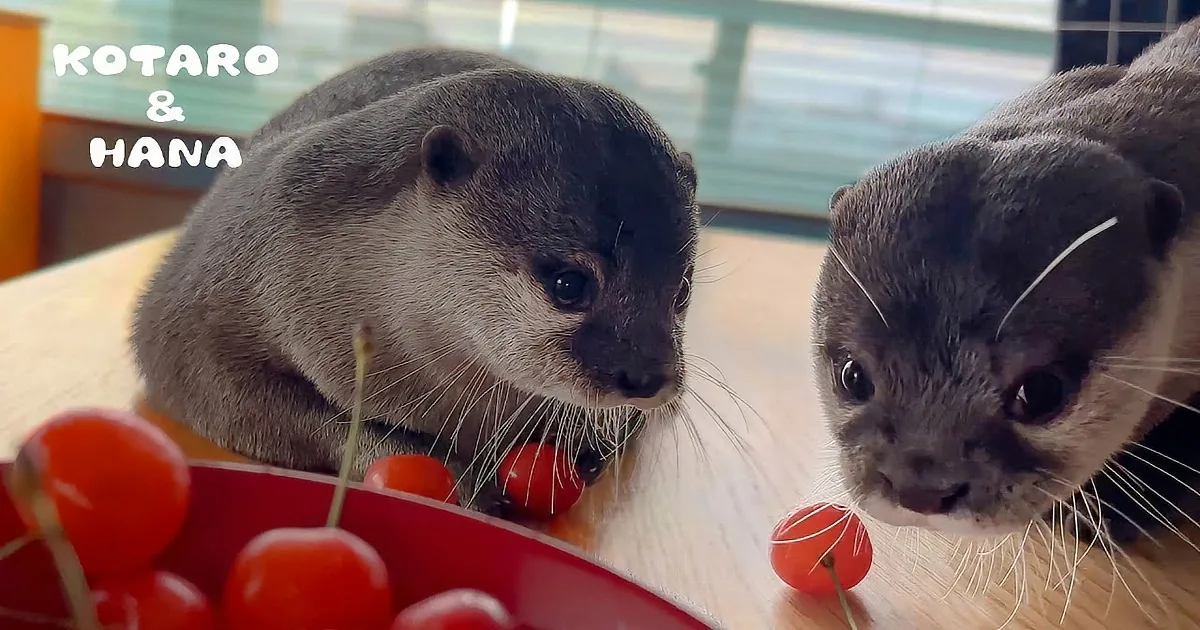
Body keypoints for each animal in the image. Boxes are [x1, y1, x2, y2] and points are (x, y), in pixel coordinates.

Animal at [130, 48, 699, 514]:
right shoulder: (199, 323)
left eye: (683, 290)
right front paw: (453, 476)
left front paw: (583, 439)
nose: (647, 376)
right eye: (569, 285)